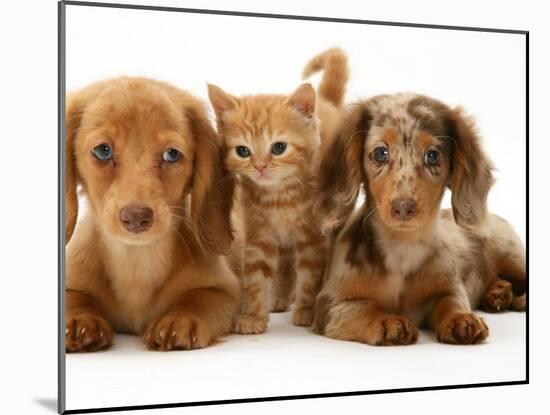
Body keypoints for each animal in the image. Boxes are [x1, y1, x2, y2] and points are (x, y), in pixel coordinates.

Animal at [64, 77, 239, 352]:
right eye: (103, 151)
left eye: (172, 154)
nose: (136, 217)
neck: (137, 259)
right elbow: (74, 297)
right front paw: (79, 319)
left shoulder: (222, 289)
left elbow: (198, 299)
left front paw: (179, 319)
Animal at [207, 48, 350, 334]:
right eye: (243, 151)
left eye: (279, 147)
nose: (261, 167)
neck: (280, 197)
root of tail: (326, 103)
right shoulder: (259, 234)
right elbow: (256, 276)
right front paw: (253, 316)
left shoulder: (312, 238)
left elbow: (310, 275)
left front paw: (306, 310)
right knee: (284, 264)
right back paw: (280, 298)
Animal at [314, 93, 528, 344]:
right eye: (380, 153)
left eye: (432, 156)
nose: (403, 208)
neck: (402, 247)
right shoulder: (330, 305)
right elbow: (366, 307)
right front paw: (388, 321)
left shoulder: (449, 288)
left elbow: (450, 302)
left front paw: (461, 319)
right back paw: (498, 294)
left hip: (513, 257)